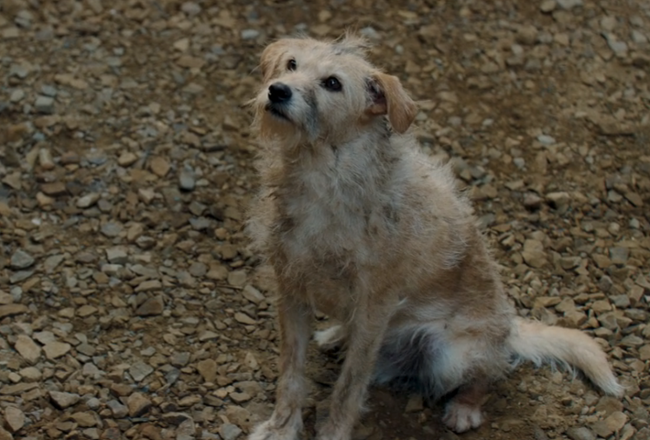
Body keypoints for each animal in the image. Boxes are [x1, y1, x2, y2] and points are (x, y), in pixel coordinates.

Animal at [244, 33, 624, 440]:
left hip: (451, 356)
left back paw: (465, 408)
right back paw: (336, 335)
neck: (323, 170)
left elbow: (349, 386)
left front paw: (332, 432)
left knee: (489, 373)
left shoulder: (375, 306)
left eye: (333, 83)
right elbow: (291, 372)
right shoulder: (291, 289)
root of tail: (507, 329)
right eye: (291, 64)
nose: (278, 90)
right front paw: (281, 426)